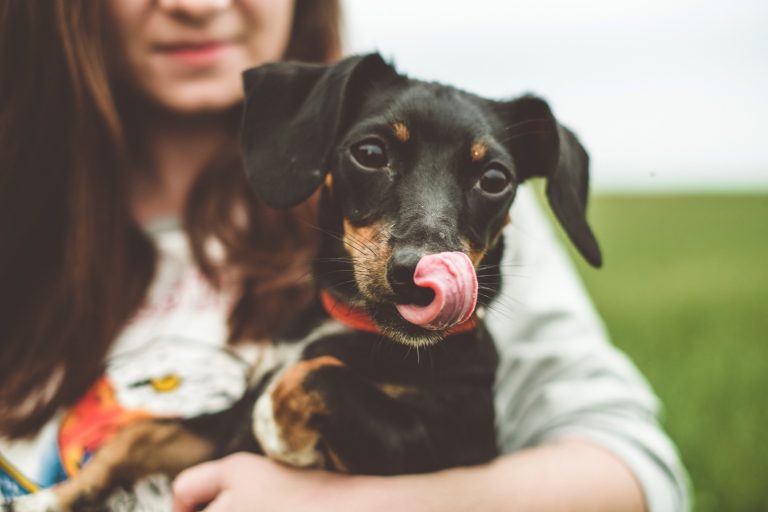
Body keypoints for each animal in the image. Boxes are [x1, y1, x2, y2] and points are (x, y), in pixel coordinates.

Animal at [7, 53, 608, 512]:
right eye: (370, 152)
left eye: (495, 179)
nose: (417, 277)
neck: (349, 324)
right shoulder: (212, 432)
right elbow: (139, 436)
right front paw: (51, 498)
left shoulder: (439, 445)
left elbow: (315, 376)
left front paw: (280, 432)